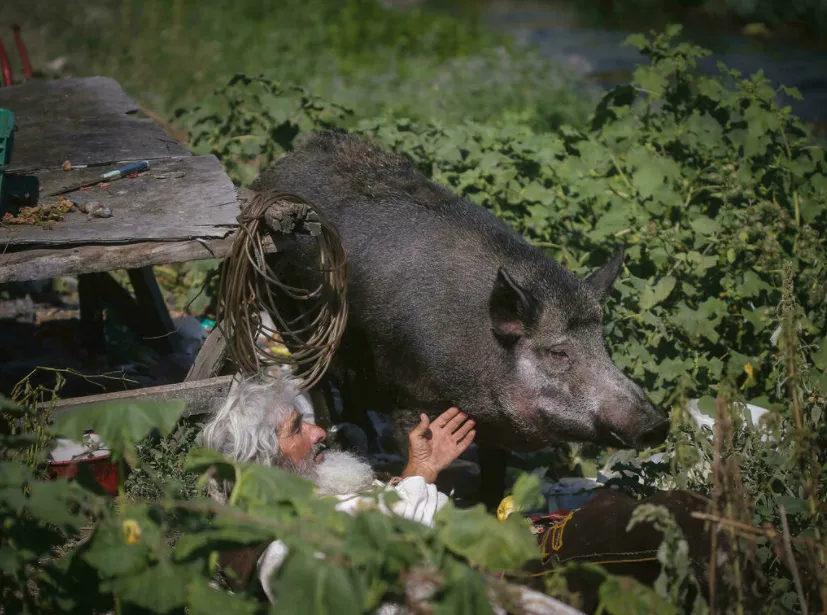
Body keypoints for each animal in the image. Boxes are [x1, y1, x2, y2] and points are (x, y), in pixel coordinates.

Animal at [251, 131, 668, 510]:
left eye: (604, 345)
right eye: (559, 353)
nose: (658, 423)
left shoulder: (496, 424)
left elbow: (495, 468)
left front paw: (486, 505)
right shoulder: (411, 395)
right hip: (288, 311)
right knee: (317, 383)